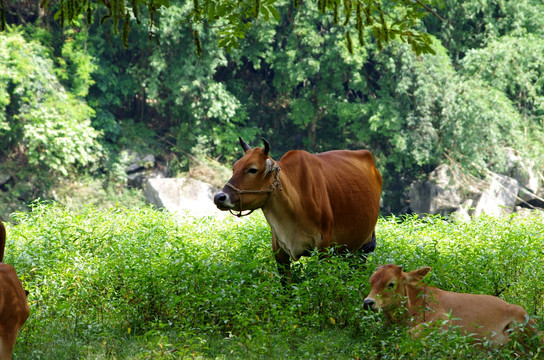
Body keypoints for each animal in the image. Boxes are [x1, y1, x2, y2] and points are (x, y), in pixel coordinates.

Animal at [212, 138, 382, 284]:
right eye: (234, 168)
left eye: (252, 169)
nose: (219, 197)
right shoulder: (279, 252)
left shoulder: (323, 248)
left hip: (363, 248)